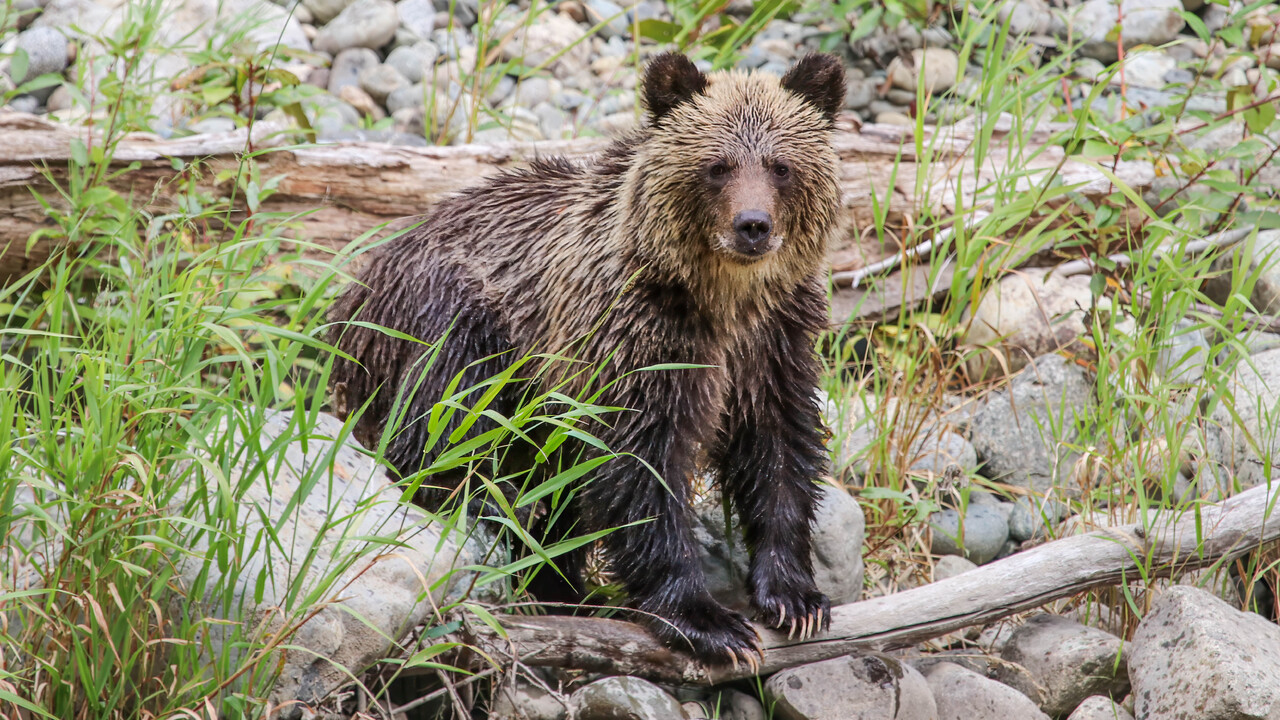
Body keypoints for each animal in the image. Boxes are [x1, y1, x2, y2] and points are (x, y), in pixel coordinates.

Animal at [327, 52, 846, 666]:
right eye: (717, 166)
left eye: (781, 166)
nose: (753, 225)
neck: (721, 301)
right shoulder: (633, 342)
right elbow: (638, 467)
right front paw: (708, 621)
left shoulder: (771, 347)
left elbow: (780, 452)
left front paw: (794, 597)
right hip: (455, 320)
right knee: (446, 429)